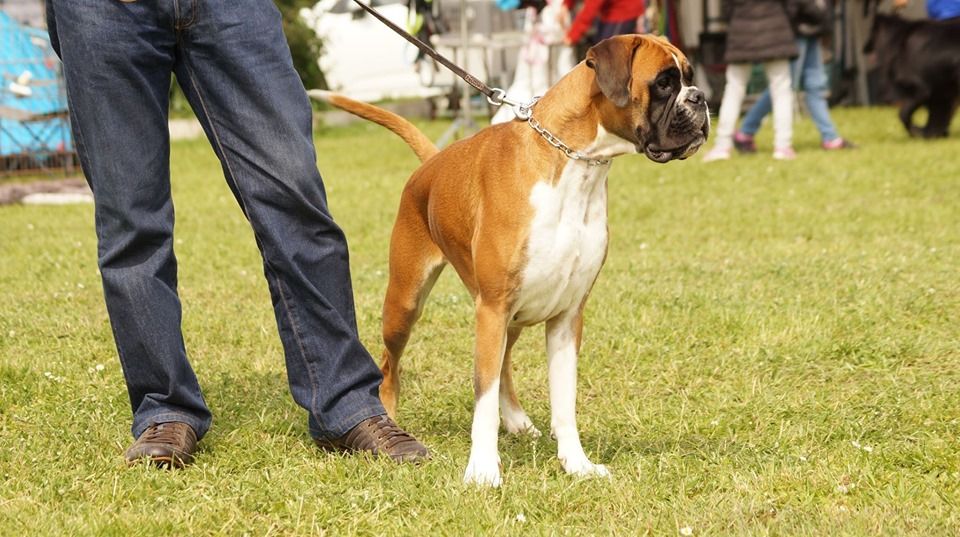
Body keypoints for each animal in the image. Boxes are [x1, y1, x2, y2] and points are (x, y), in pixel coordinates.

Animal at [312, 33, 708, 486]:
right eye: (663, 83)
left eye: (689, 77)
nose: (700, 98)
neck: (573, 164)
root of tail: (432, 162)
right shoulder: (492, 308)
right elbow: (482, 398)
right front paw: (483, 469)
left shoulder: (566, 318)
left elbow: (564, 402)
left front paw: (577, 464)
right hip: (407, 303)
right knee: (390, 366)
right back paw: (391, 418)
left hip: (515, 314)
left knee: (504, 365)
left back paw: (516, 419)